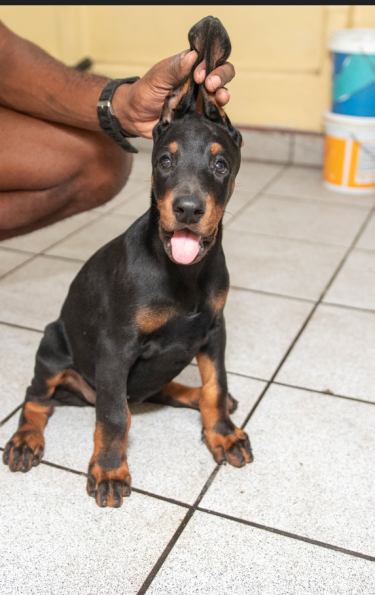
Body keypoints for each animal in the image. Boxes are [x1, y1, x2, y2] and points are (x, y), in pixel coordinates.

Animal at [2, 15, 253, 508]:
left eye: (220, 166)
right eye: (164, 162)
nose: (188, 210)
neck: (183, 273)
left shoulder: (214, 331)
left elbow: (216, 385)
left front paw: (223, 433)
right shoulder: (117, 347)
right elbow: (115, 416)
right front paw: (109, 470)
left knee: (165, 388)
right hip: (53, 347)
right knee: (37, 396)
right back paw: (25, 440)